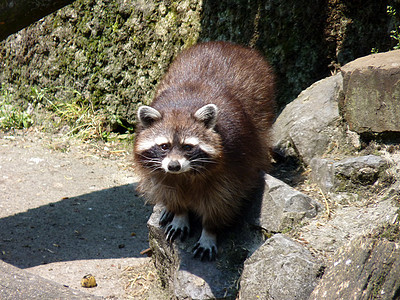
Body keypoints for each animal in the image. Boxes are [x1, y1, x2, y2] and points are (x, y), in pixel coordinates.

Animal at [134, 40, 276, 260]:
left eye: (188, 147)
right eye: (164, 146)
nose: (174, 166)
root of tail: (228, 45)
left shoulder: (233, 164)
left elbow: (222, 201)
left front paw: (209, 231)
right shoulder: (160, 171)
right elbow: (169, 191)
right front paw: (179, 213)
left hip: (262, 104)